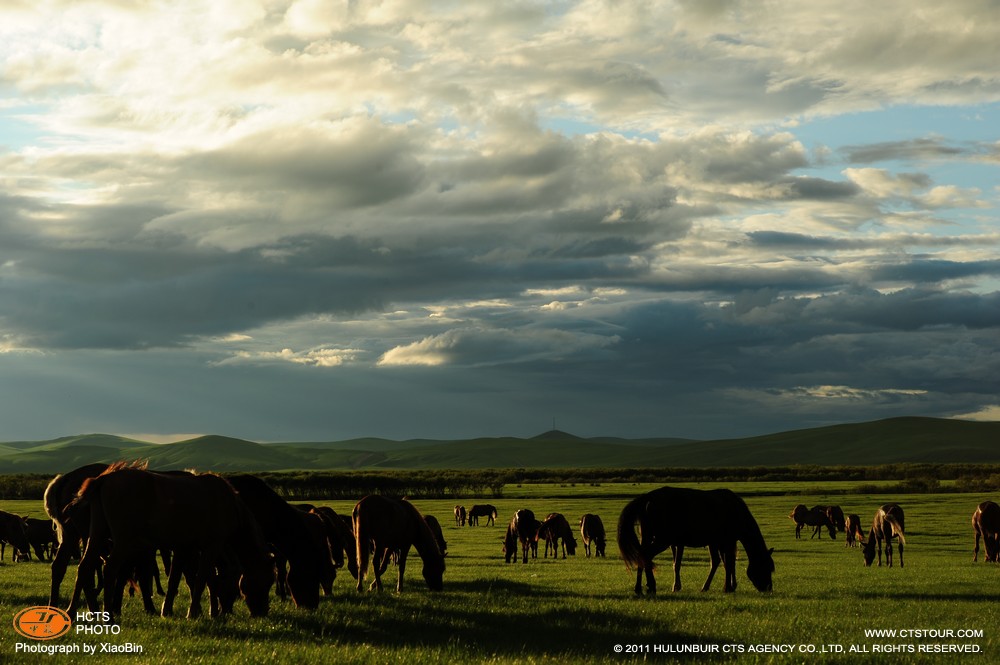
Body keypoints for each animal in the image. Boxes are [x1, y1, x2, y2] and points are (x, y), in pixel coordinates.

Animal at [69, 462, 274, 616]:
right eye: (266, 581)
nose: (262, 613)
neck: (227, 502)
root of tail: (105, 479)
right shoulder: (211, 546)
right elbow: (201, 578)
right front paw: (194, 612)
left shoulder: (187, 548)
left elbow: (179, 578)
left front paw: (168, 610)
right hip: (123, 542)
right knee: (111, 569)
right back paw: (108, 617)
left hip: (97, 535)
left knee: (85, 567)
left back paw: (80, 611)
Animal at [616, 486, 772, 592]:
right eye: (767, 566)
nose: (768, 588)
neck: (737, 511)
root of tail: (648, 497)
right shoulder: (726, 541)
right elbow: (728, 563)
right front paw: (727, 587)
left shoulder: (716, 542)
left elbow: (721, 562)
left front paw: (725, 586)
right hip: (662, 540)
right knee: (646, 555)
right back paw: (651, 586)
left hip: (647, 537)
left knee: (641, 556)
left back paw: (639, 588)